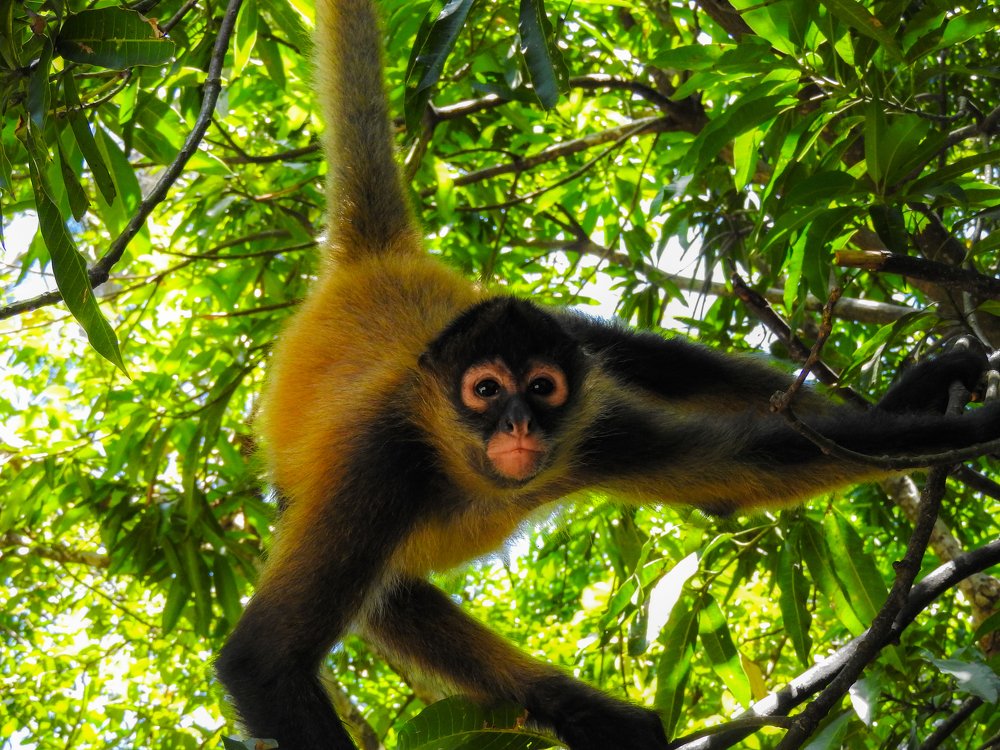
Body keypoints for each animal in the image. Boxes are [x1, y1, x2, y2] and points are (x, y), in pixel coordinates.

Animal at [214, 1, 1000, 748]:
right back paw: (576, 708)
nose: (519, 424)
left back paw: (903, 397)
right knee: (394, 598)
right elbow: (263, 662)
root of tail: (376, 267)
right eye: (485, 390)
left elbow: (751, 465)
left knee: (633, 356)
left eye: (541, 389)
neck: (470, 475)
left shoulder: (594, 429)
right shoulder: (380, 461)